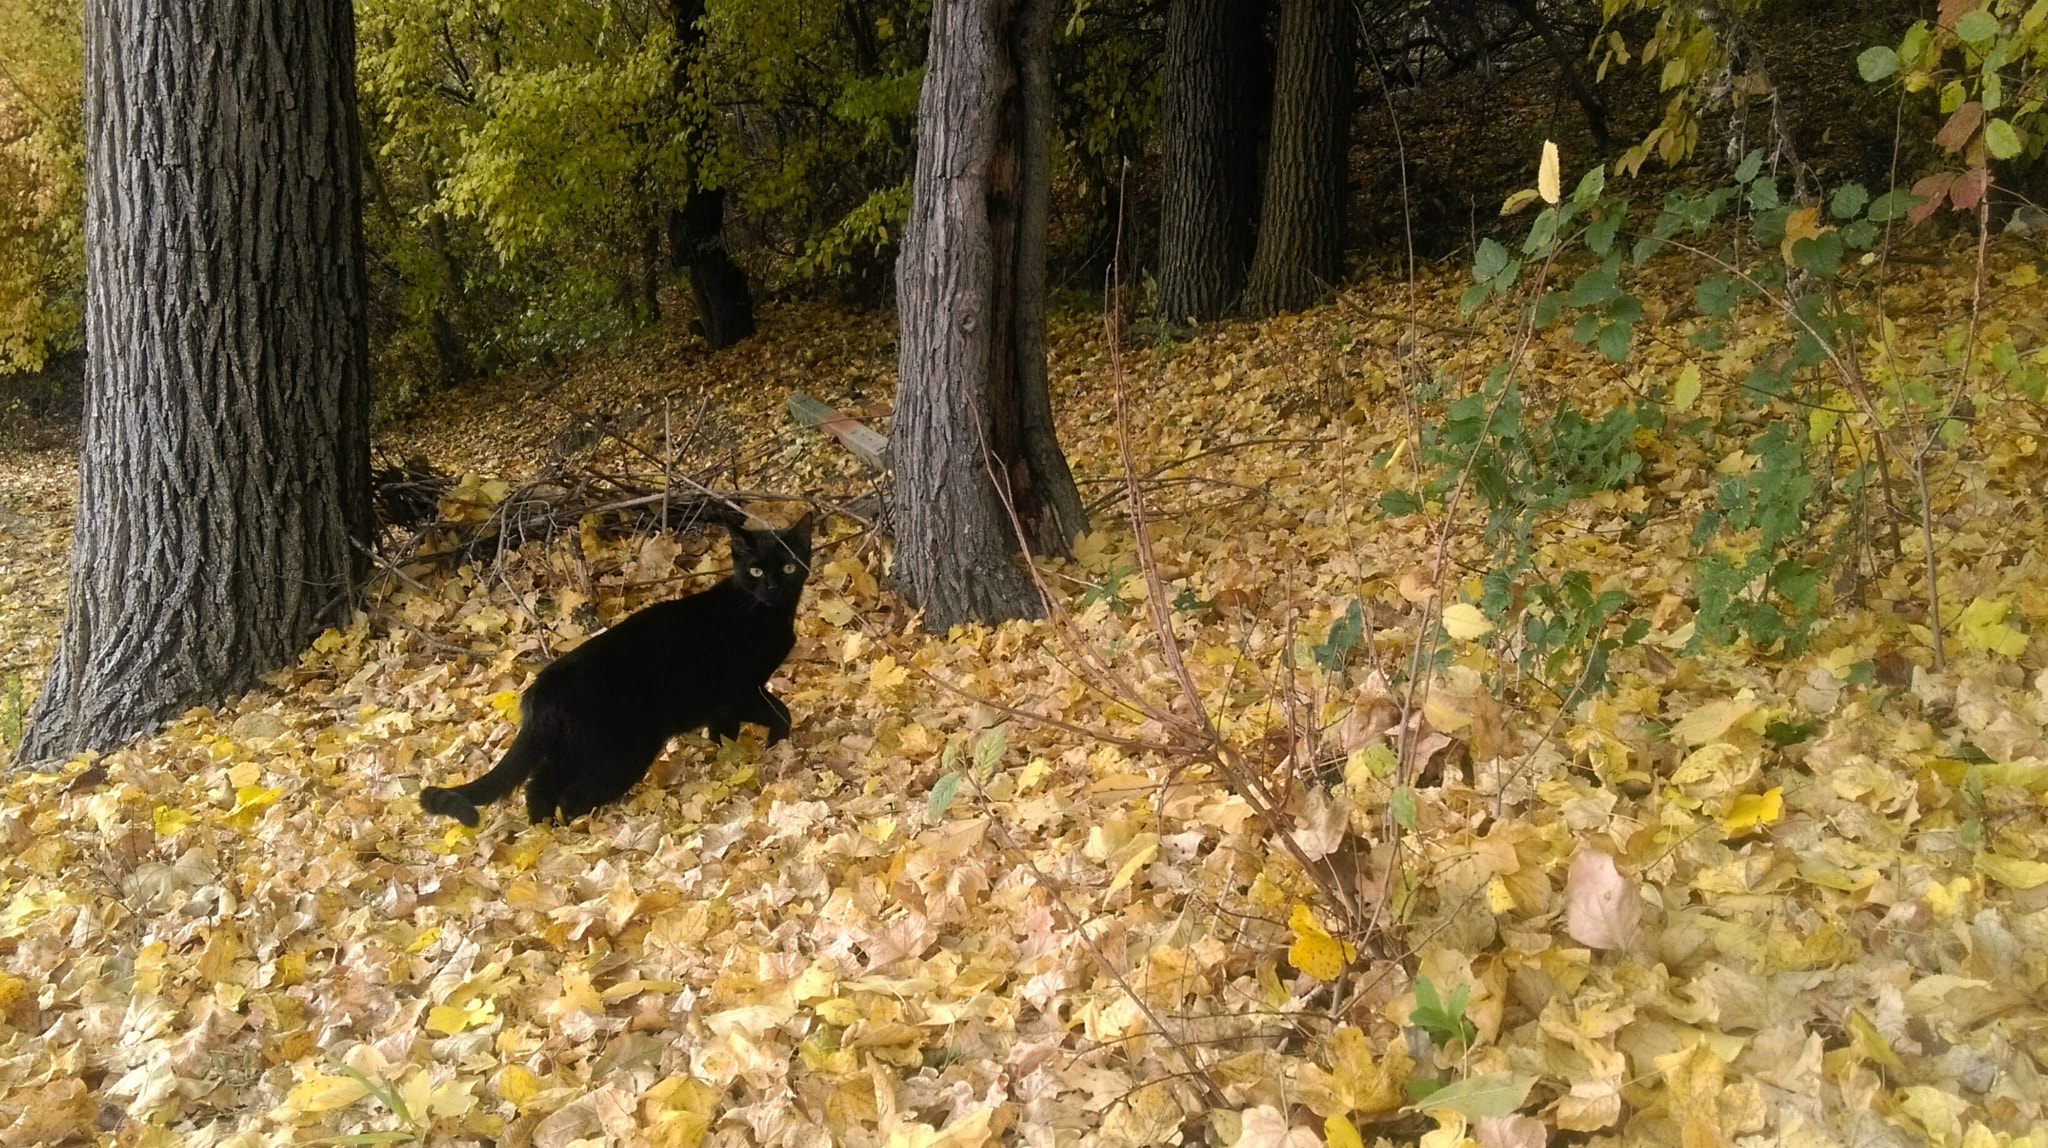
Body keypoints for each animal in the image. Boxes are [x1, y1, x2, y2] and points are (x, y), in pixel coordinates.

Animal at [417, 511, 815, 822]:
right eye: (756, 570)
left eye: (788, 567)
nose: (773, 588)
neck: (763, 613)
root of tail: (541, 689)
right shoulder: (739, 690)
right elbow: (780, 712)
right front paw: (776, 746)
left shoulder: (725, 704)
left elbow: (724, 731)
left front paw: (727, 758)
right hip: (618, 750)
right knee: (566, 794)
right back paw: (576, 825)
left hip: (575, 748)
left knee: (539, 785)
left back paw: (545, 828)